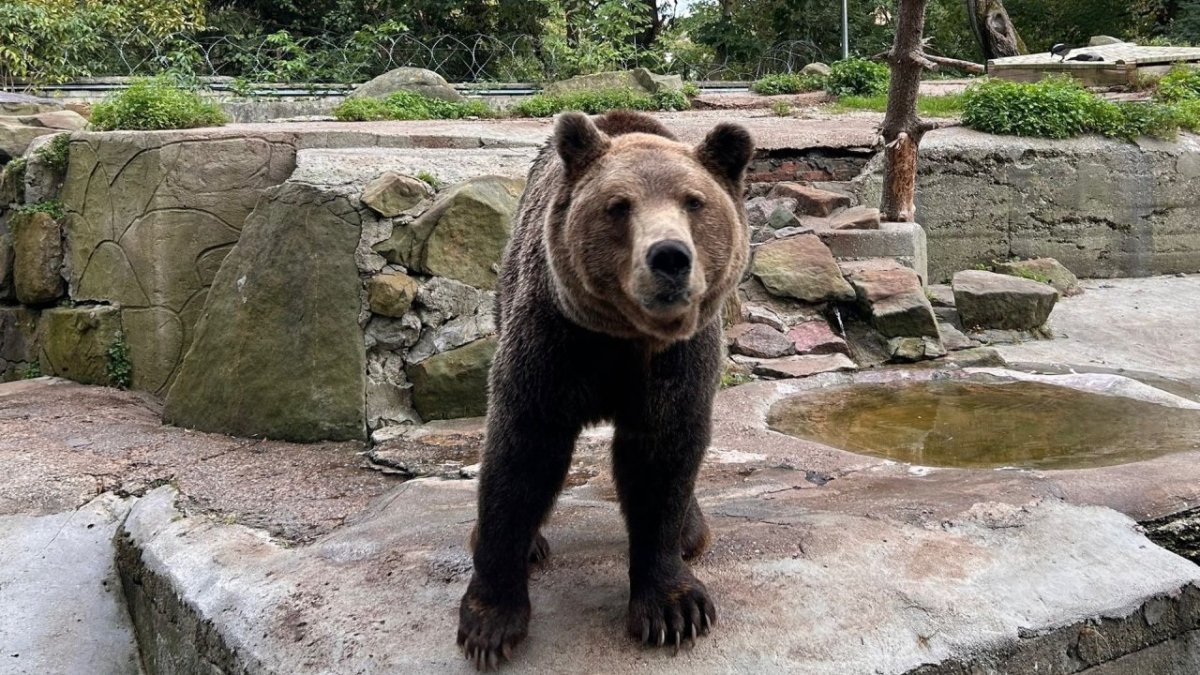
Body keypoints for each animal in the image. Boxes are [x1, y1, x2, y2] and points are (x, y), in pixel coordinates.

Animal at [457, 109, 754, 670]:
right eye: (618, 206)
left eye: (694, 201)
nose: (669, 257)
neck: (625, 338)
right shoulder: (554, 343)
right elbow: (521, 458)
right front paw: (490, 622)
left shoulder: (676, 362)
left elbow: (662, 462)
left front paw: (674, 610)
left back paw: (692, 531)